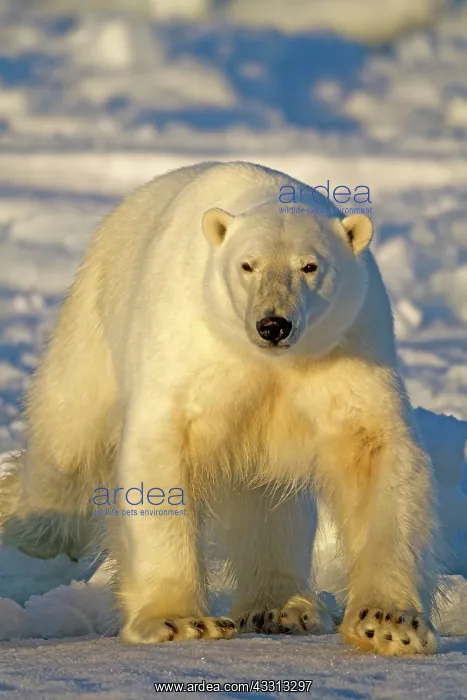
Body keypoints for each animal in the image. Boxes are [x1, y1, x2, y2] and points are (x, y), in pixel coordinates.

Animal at [0, 161, 439, 654]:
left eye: (310, 266)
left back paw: (283, 608)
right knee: (67, 449)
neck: (270, 361)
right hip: (92, 330)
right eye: (247, 265)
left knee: (267, 501)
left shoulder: (347, 348)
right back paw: (28, 540)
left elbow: (374, 452)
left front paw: (389, 623)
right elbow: (162, 453)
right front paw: (180, 621)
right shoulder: (192, 350)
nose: (273, 325)